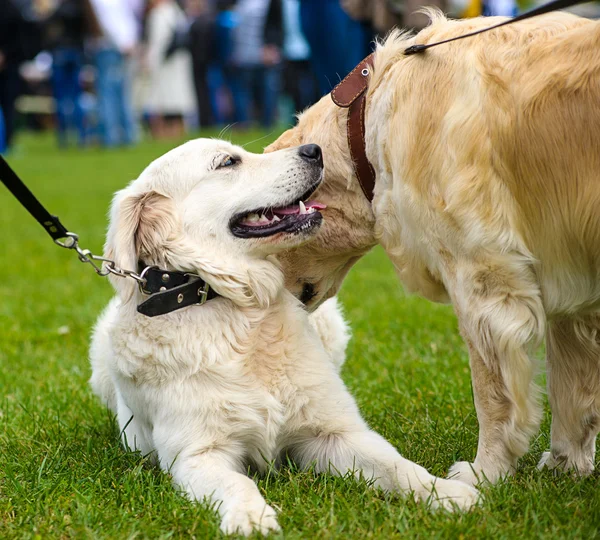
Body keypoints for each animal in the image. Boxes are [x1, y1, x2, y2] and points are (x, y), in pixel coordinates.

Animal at [88, 139, 478, 536]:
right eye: (228, 162)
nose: (314, 149)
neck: (238, 313)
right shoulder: (197, 454)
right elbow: (236, 482)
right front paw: (250, 517)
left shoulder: (336, 432)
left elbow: (398, 465)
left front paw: (447, 492)